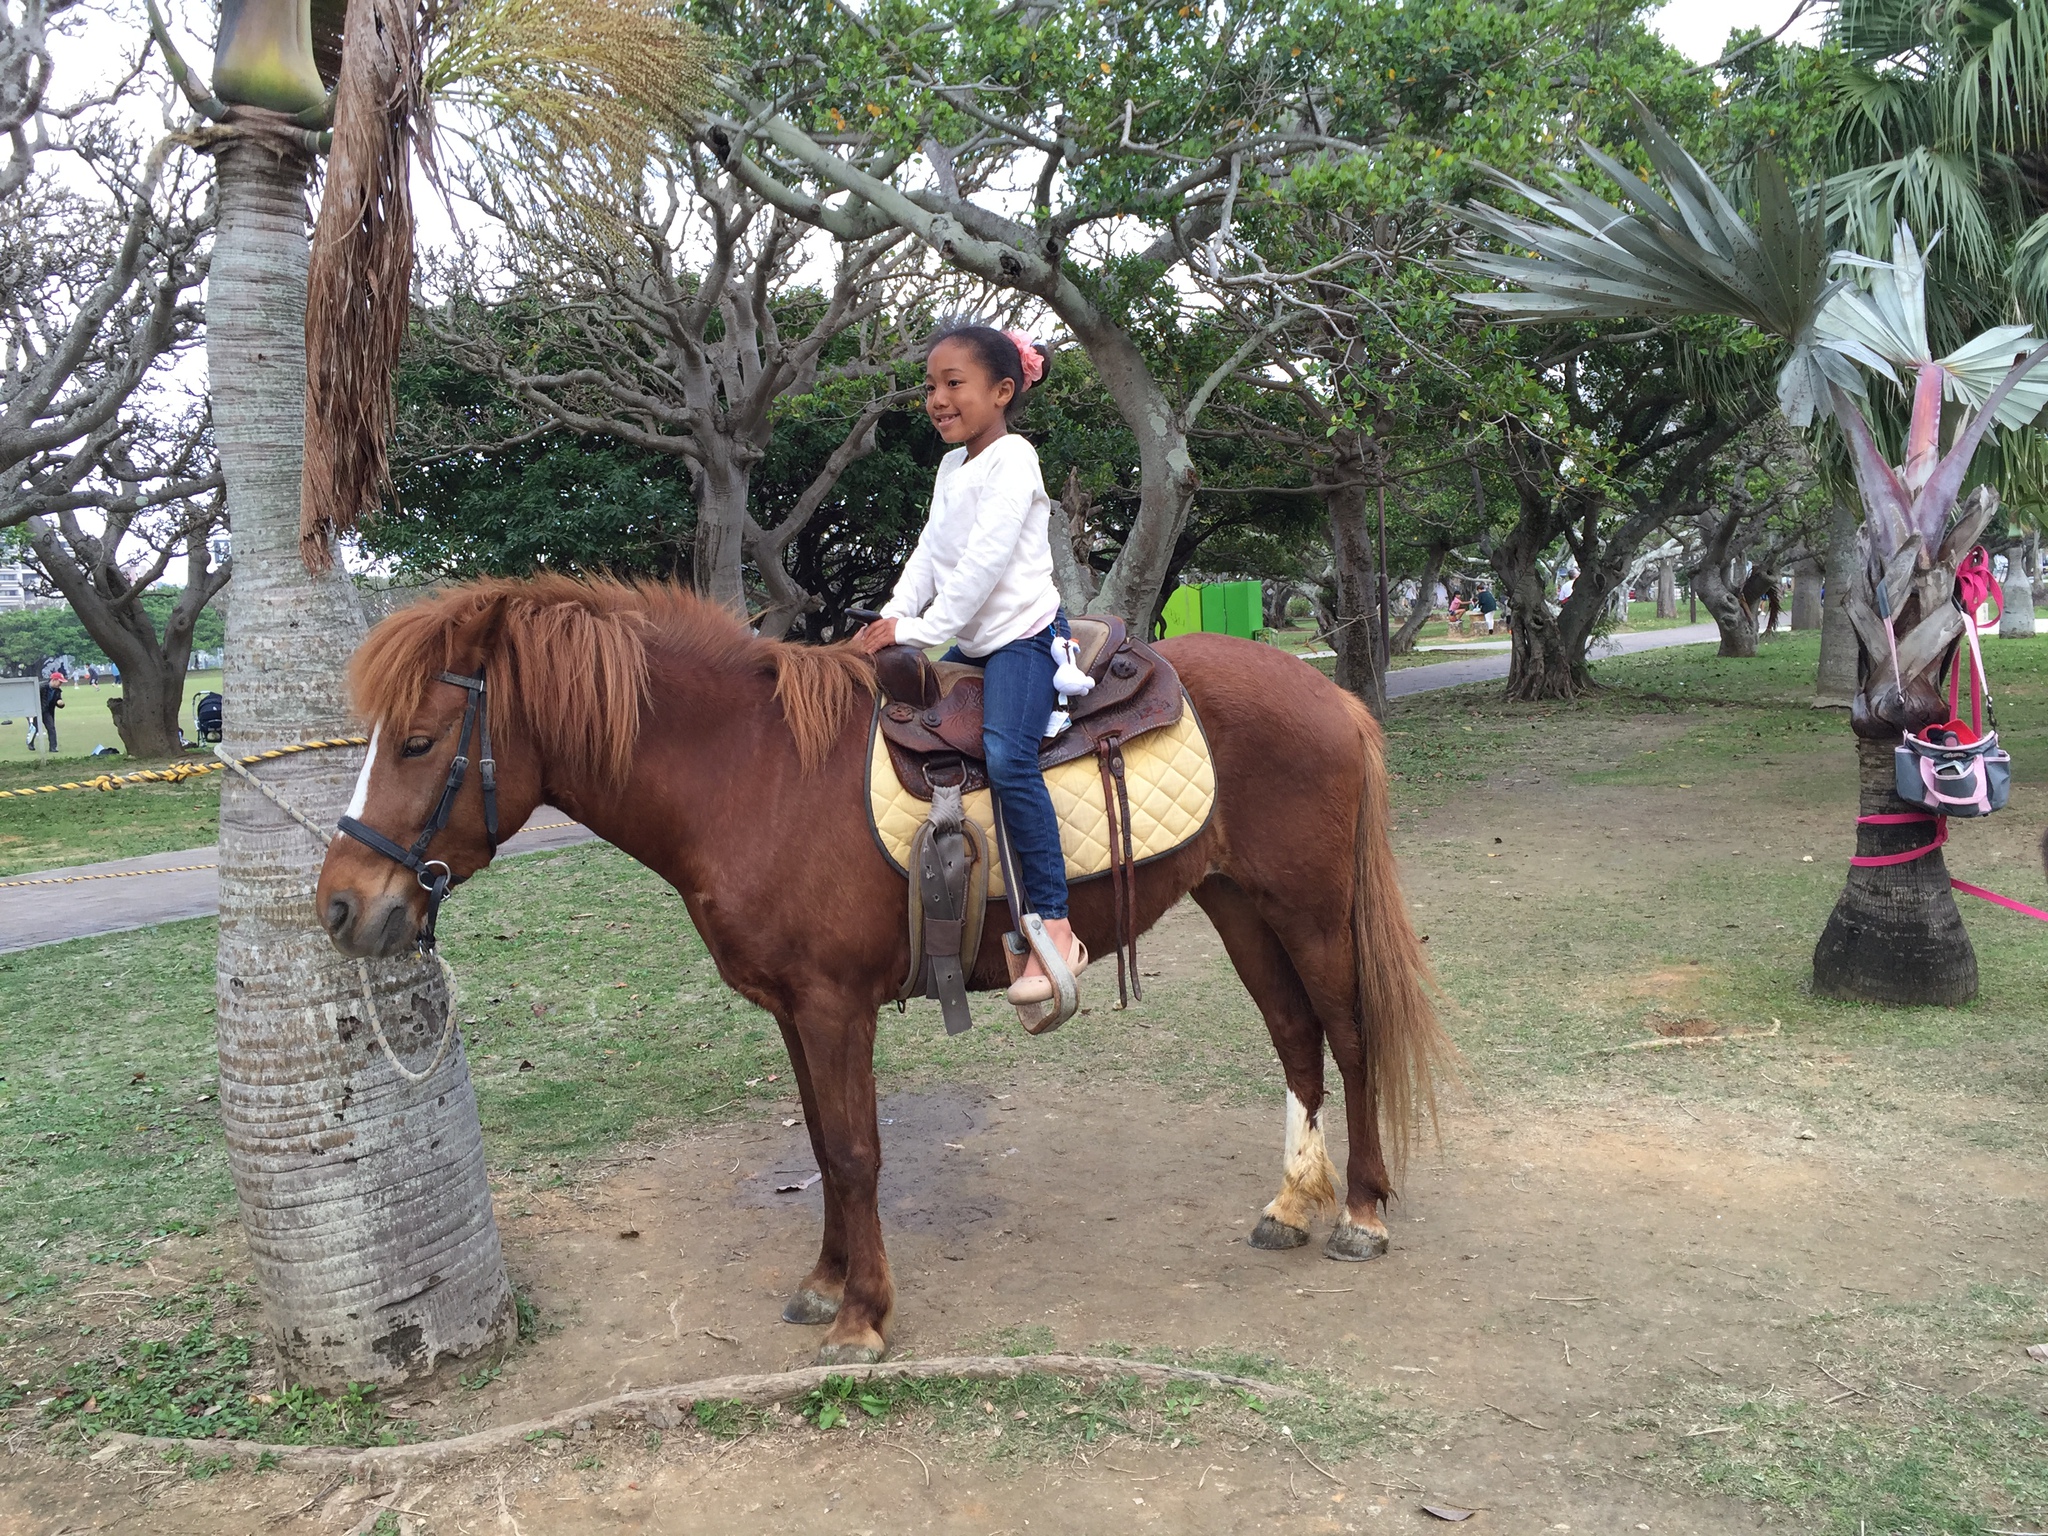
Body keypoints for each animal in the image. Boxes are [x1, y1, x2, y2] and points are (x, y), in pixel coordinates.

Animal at [315, 581, 1441, 1368]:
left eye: (417, 741)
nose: (339, 907)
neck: (754, 775)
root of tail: (1330, 695)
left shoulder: (832, 1005)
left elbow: (856, 1151)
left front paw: (860, 1318)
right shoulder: (791, 1010)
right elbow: (820, 1142)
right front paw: (825, 1282)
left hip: (1305, 910)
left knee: (1347, 1035)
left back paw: (1362, 1212)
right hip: (1238, 903)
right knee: (1293, 1036)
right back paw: (1291, 1204)